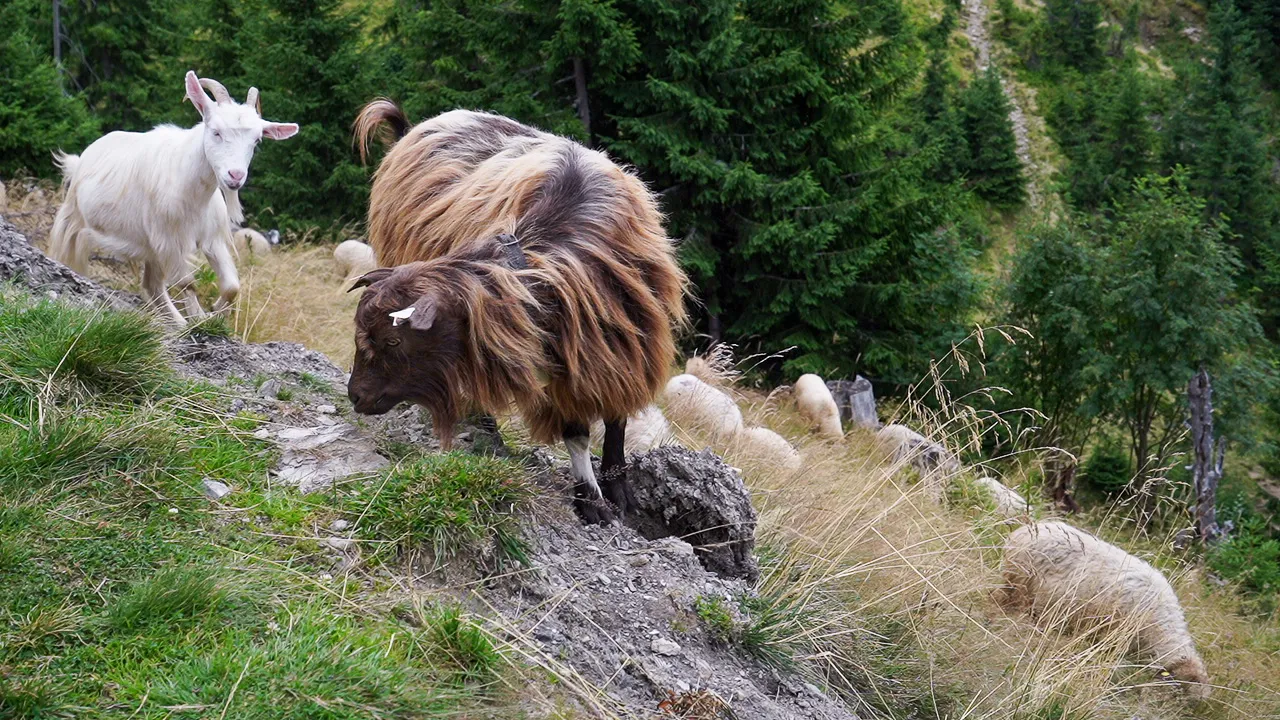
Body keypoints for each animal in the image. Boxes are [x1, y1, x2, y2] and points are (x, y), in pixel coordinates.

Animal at [47, 71, 298, 326]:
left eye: (256, 141)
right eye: (216, 131)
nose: (235, 176)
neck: (194, 193)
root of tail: (81, 159)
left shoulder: (211, 239)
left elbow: (231, 287)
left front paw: (214, 312)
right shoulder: (169, 241)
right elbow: (188, 283)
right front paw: (199, 318)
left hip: (150, 248)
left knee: (152, 285)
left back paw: (176, 321)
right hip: (74, 222)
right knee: (69, 257)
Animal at [347, 102, 688, 525]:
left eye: (394, 339)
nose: (355, 395)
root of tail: (418, 126)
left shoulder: (615, 348)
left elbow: (616, 417)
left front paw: (619, 491)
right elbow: (576, 432)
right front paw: (590, 501)